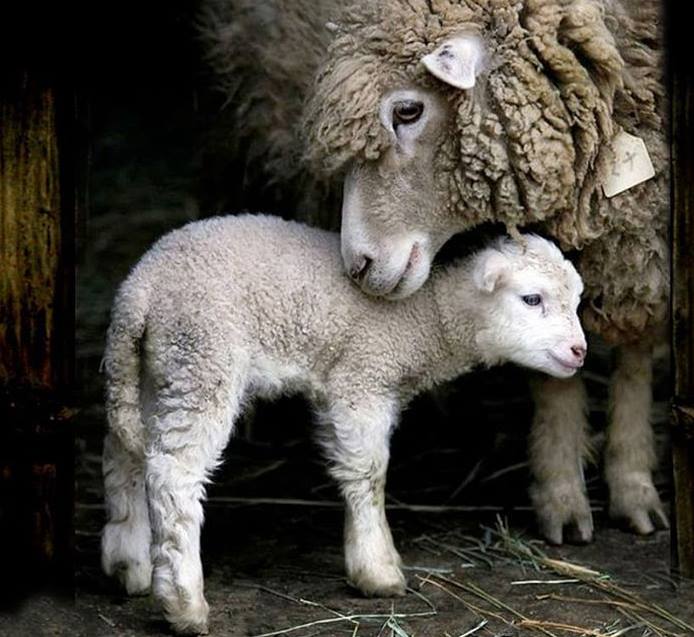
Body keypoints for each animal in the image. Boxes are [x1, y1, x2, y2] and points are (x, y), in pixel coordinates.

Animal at [101, 213, 586, 635]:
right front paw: (378, 571)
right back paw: (184, 604)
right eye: (532, 299)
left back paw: (129, 563)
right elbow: (368, 474)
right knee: (173, 474)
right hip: (203, 357)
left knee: (126, 452)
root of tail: (138, 292)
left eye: (576, 301)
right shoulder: (362, 380)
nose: (580, 351)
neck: (427, 319)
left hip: (156, 368)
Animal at [199, 0, 669, 544]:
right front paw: (562, 495)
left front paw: (634, 484)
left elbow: (634, 357)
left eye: (408, 111)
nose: (358, 264)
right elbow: (549, 365)